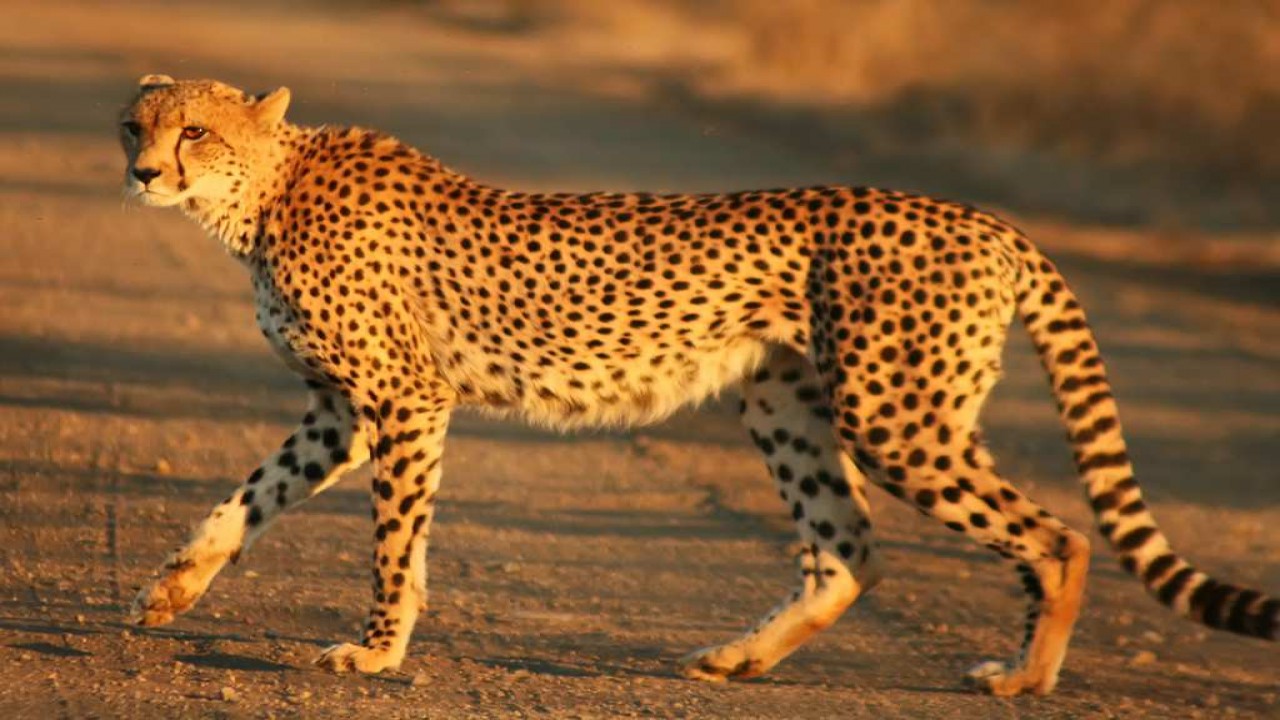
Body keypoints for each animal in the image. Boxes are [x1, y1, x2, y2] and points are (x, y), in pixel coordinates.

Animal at [118, 74, 1277, 696]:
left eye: (196, 133)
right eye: (139, 125)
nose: (142, 174)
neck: (263, 193)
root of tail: (981, 217)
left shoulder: (403, 401)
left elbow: (394, 542)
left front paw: (375, 651)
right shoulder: (338, 410)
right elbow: (249, 497)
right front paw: (173, 589)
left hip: (895, 415)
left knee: (1057, 535)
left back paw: (1025, 676)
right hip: (787, 403)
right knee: (846, 551)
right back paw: (739, 658)